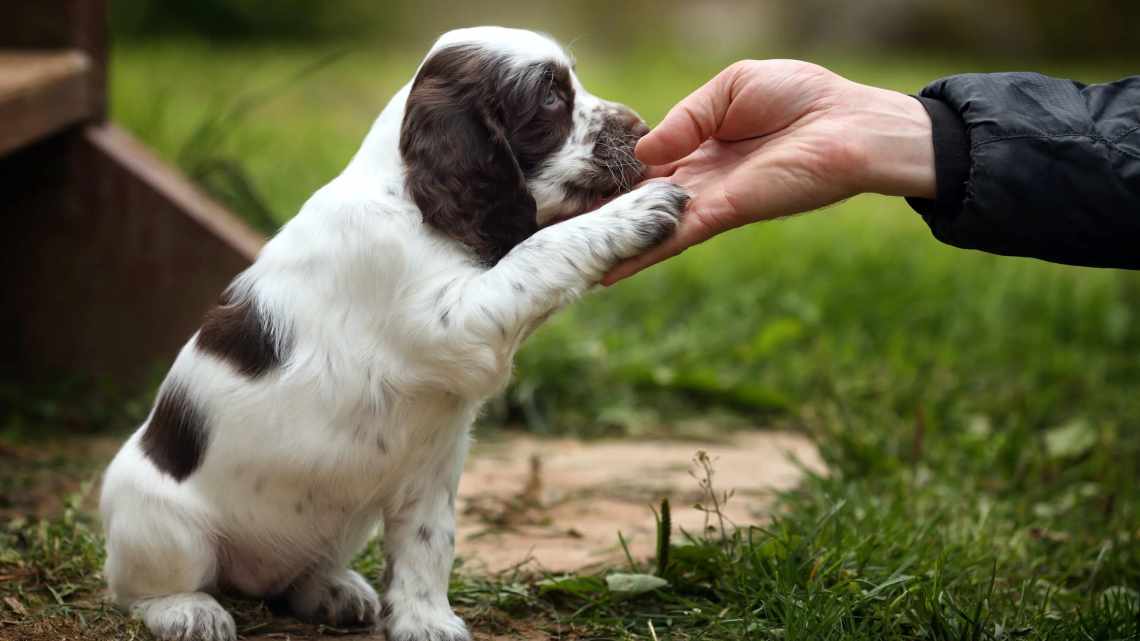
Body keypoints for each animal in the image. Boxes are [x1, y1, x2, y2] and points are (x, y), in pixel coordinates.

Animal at [100, 26, 684, 638]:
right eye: (550, 96)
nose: (643, 128)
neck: (409, 197)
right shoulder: (457, 324)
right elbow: (539, 251)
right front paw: (636, 211)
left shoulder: (432, 468)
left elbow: (428, 545)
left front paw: (424, 621)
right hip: (162, 524)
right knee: (140, 587)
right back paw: (187, 610)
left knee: (295, 577)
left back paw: (332, 590)